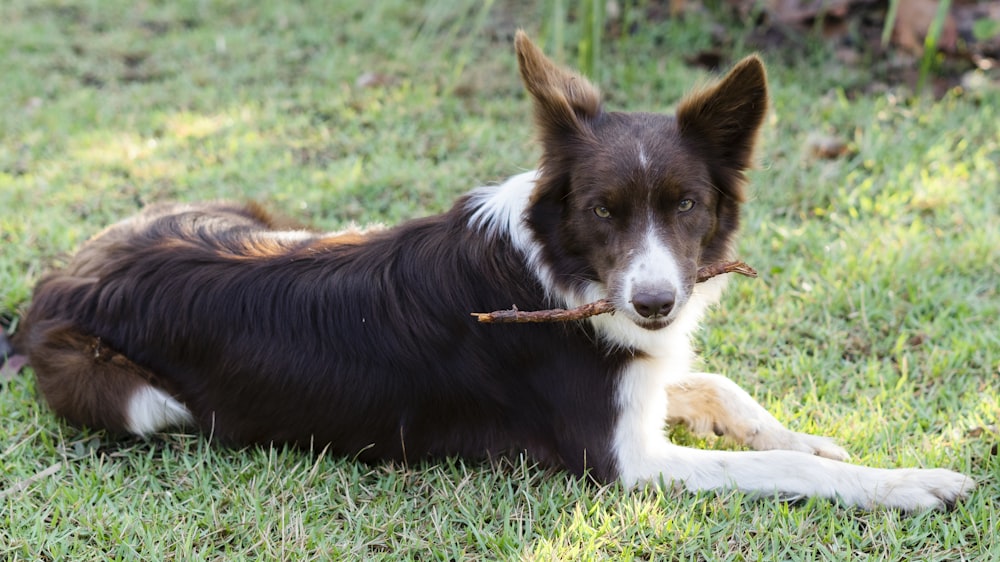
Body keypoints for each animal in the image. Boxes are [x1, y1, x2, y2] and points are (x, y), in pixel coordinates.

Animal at [11, 32, 972, 510]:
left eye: (687, 206)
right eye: (602, 211)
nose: (655, 303)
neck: (558, 270)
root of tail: (57, 282)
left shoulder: (642, 373)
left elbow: (718, 387)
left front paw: (807, 433)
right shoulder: (624, 460)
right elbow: (783, 469)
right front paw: (904, 481)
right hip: (136, 399)